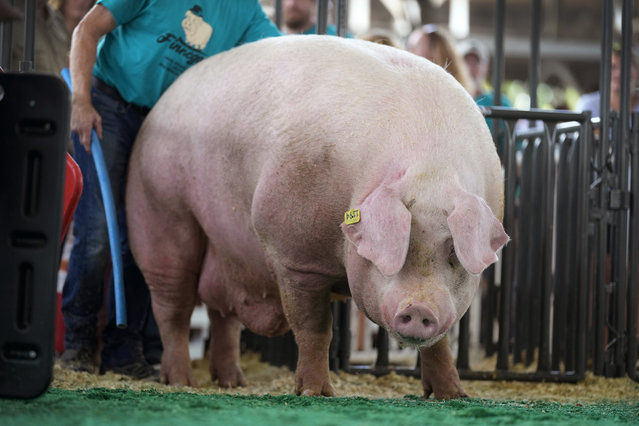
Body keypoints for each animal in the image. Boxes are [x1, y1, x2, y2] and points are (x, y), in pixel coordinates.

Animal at [126, 34, 510, 400]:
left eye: (453, 251)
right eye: (401, 246)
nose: (419, 308)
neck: (430, 169)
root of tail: (160, 105)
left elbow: (441, 343)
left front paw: (453, 396)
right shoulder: (294, 255)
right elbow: (314, 329)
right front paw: (315, 392)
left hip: (229, 252)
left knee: (223, 313)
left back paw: (232, 382)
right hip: (160, 211)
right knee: (173, 305)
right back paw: (180, 380)